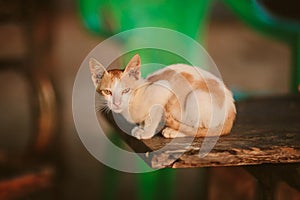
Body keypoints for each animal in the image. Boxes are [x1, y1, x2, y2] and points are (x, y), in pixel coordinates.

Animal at [89, 54, 237, 139]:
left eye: (126, 90)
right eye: (107, 92)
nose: (116, 103)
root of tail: (231, 109)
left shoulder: (162, 89)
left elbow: (154, 116)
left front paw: (146, 133)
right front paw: (141, 127)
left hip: (195, 97)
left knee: (198, 130)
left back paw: (173, 132)